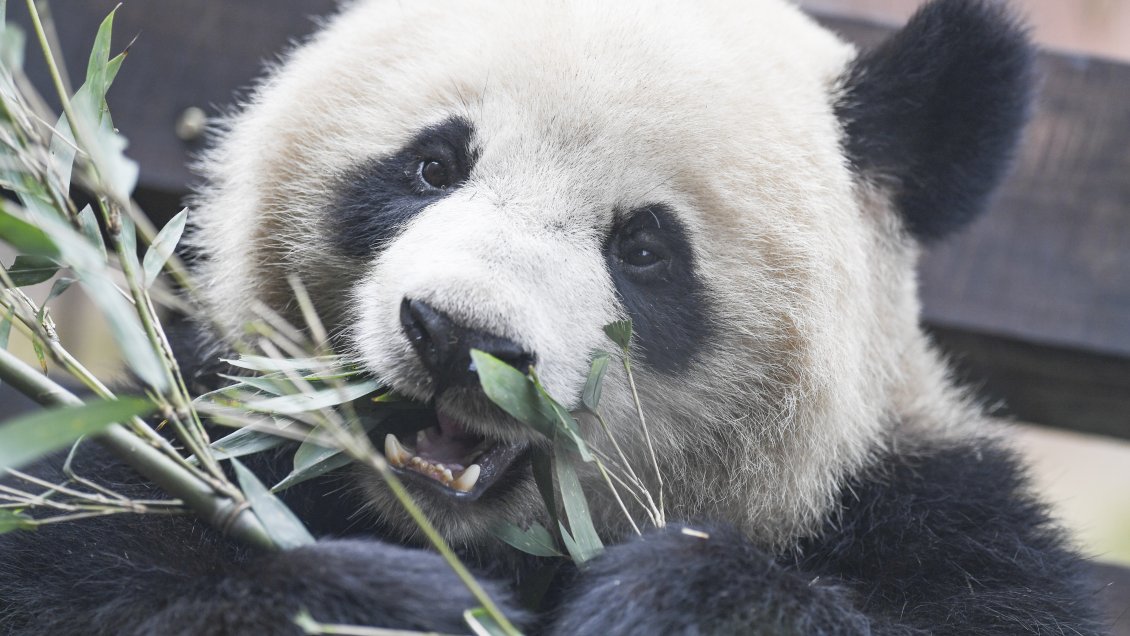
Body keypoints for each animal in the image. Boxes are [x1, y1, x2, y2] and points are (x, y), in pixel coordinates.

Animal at [0, 0, 1102, 633]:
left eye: (644, 248)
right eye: (432, 165)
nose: (458, 338)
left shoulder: (935, 520)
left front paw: (667, 603)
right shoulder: (185, 422)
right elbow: (76, 562)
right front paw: (391, 604)